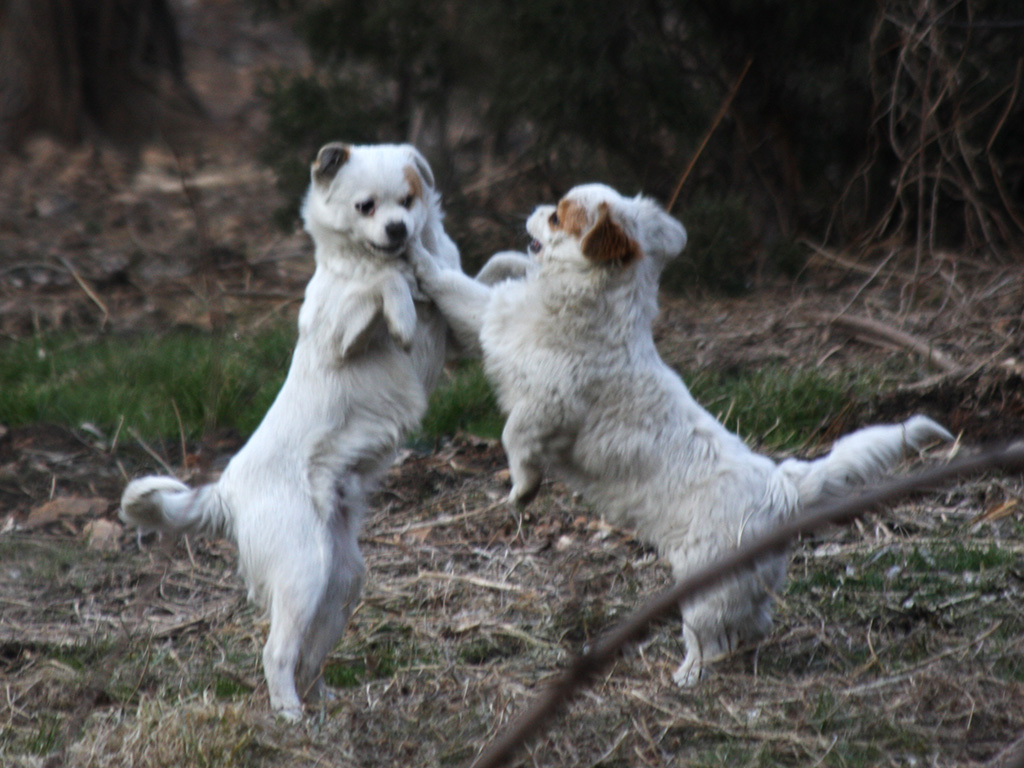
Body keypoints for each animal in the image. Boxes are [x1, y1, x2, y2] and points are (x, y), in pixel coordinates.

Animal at [117, 140, 458, 720]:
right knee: (277, 652)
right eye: (366, 206)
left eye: (408, 201)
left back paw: (320, 698)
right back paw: (289, 715)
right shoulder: (340, 334)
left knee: (308, 654)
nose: (397, 231)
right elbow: (383, 285)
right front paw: (402, 312)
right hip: (304, 570)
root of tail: (226, 491)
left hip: (340, 582)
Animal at [407, 185, 950, 684]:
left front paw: (522, 491)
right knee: (752, 621)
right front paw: (422, 259)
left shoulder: (549, 403)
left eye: (558, 216)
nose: (534, 211)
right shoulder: (491, 324)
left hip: (706, 583)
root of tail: (783, 488)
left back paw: (688, 674)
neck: (587, 300)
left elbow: (514, 436)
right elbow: (456, 288)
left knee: (712, 635)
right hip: (745, 583)